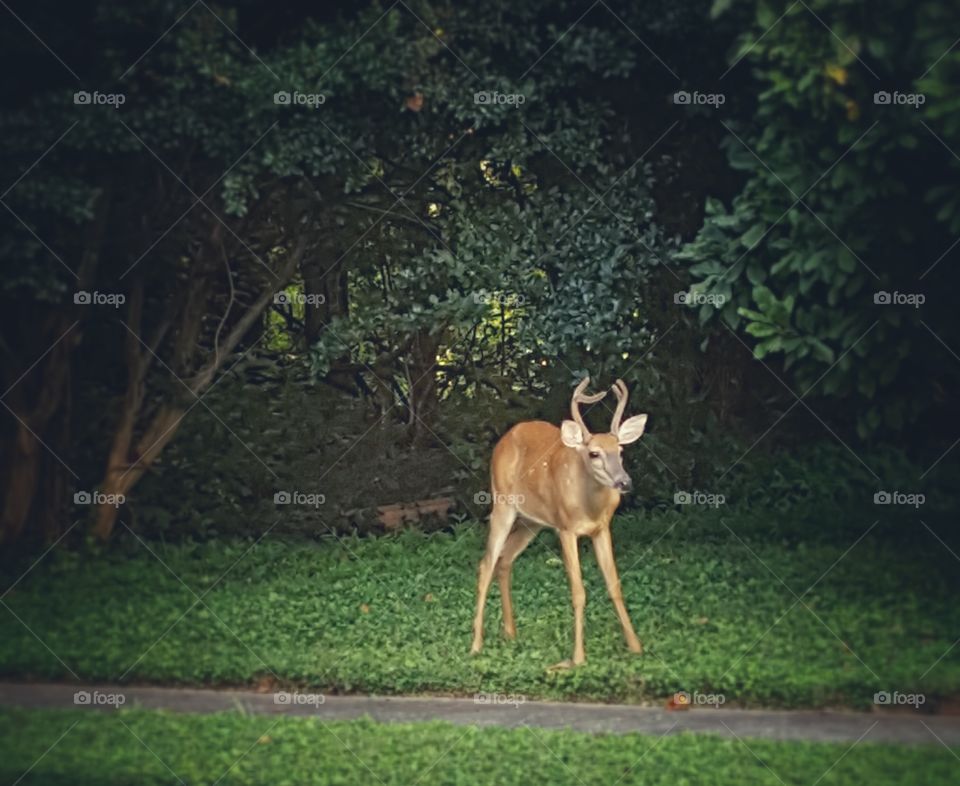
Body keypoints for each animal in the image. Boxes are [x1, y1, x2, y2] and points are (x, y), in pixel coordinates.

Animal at [470, 377, 648, 669]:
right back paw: (476, 645)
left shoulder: (602, 529)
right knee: (486, 563)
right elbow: (578, 592)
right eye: (594, 454)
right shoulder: (566, 529)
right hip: (502, 503)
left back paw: (510, 632)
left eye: (620, 450)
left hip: (531, 522)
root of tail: (505, 438)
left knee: (505, 560)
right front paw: (578, 657)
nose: (624, 482)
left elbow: (615, 585)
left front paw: (635, 646)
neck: (589, 507)